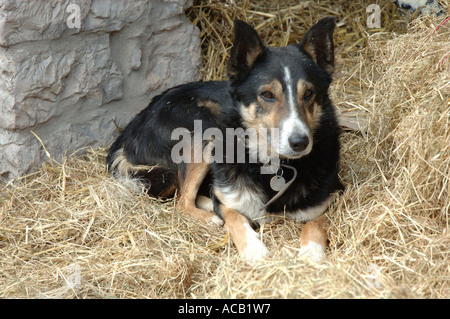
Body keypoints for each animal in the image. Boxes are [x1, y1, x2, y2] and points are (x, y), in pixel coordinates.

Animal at [106, 15, 344, 262]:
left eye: (309, 93)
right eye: (267, 94)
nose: (300, 142)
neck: (271, 166)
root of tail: (129, 131)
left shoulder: (333, 197)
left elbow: (314, 224)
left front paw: (311, 253)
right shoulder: (229, 200)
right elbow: (236, 217)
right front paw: (254, 250)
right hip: (203, 125)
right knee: (182, 201)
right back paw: (210, 216)